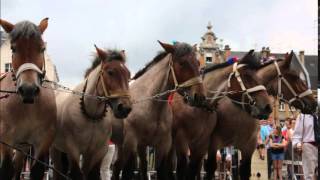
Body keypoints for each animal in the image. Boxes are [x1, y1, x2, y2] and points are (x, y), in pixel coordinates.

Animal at [0, 17, 57, 179]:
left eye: (42, 49)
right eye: (13, 48)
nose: (28, 90)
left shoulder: (42, 141)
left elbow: (36, 170)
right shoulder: (6, 140)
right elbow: (6, 169)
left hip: (22, 146)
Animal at [52, 45, 132, 179]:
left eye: (128, 75)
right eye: (110, 72)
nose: (125, 108)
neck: (92, 116)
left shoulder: (97, 152)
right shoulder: (73, 150)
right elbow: (76, 174)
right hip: (56, 149)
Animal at [111, 41, 206, 180]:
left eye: (198, 63)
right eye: (182, 63)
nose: (199, 97)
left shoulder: (163, 145)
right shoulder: (131, 142)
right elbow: (128, 171)